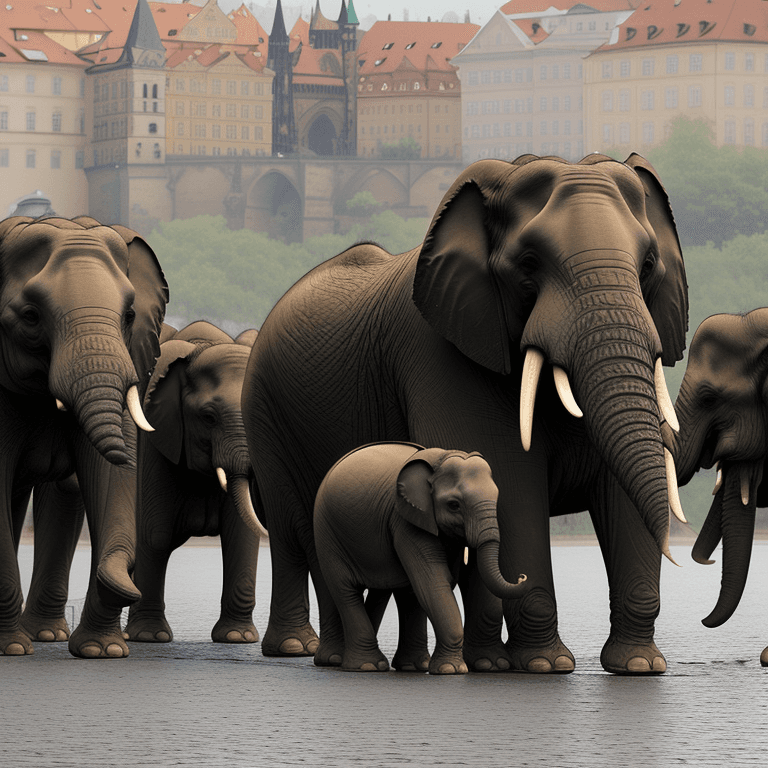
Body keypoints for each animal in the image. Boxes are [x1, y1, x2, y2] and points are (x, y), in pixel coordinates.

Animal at [0, 215, 167, 658]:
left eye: (129, 315)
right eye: (30, 316)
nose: (132, 584)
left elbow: (107, 479)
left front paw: (101, 652)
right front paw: (14, 650)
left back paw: (47, 637)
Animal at [123, 321, 268, 644]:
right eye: (208, 418)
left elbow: (240, 535)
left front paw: (237, 637)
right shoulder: (156, 435)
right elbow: (155, 533)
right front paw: (150, 637)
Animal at [314, 442, 529, 674]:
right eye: (454, 505)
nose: (522, 577)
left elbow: (474, 581)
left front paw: (492, 665)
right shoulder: (406, 520)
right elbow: (433, 582)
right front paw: (451, 670)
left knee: (395, 592)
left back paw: (409, 666)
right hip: (326, 532)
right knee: (344, 590)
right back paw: (361, 665)